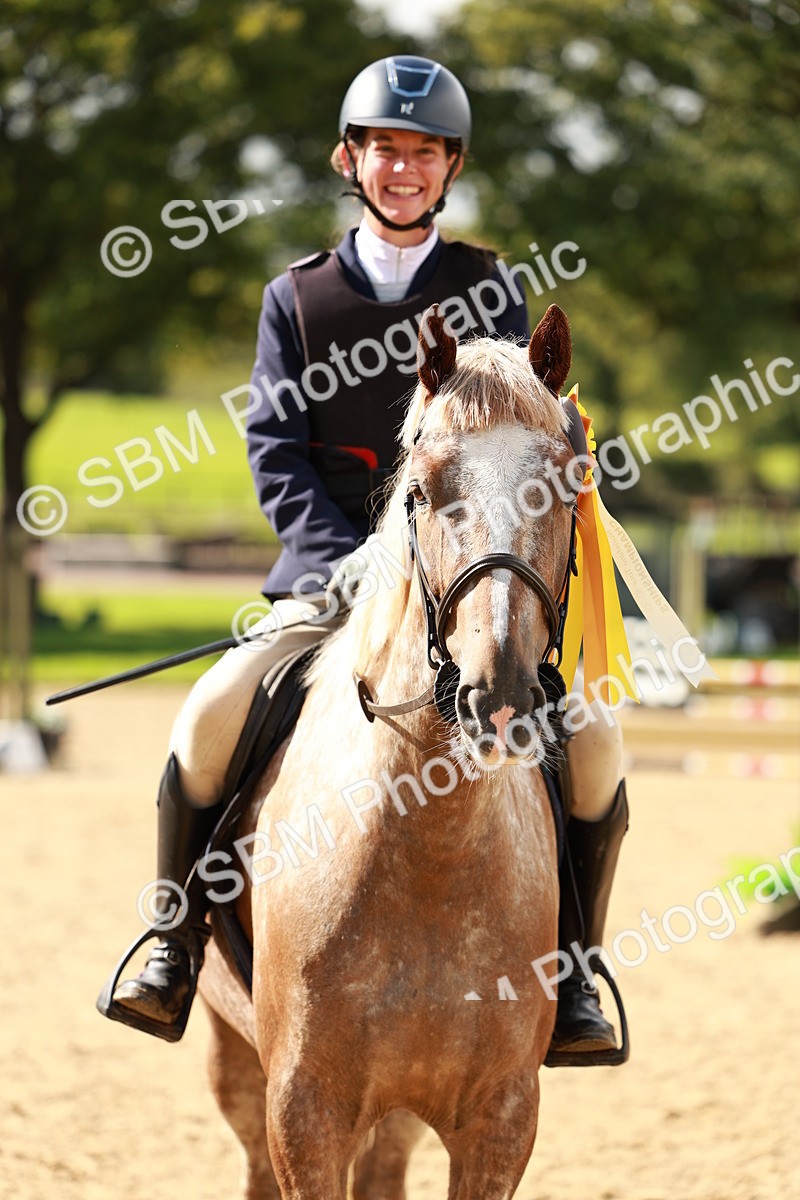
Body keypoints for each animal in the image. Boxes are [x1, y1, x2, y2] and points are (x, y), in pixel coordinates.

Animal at [198, 303, 580, 1198]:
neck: (429, 850)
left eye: (563, 483)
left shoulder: (502, 1119)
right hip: (238, 1068)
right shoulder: (303, 1111)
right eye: (423, 490)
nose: (498, 693)